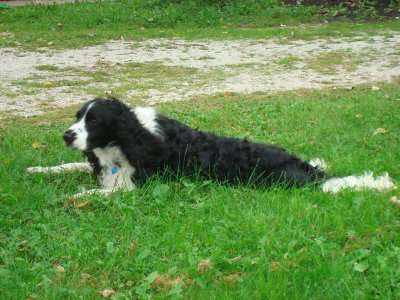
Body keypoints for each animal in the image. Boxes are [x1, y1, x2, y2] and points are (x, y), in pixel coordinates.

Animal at [28, 97, 396, 198]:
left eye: (95, 121)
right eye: (78, 117)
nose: (66, 135)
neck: (130, 135)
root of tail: (300, 166)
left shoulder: (133, 186)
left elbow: (94, 192)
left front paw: (69, 198)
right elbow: (70, 166)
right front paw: (38, 170)